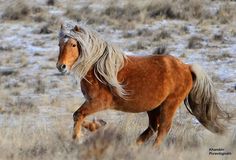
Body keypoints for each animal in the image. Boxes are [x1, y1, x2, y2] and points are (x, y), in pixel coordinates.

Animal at [56, 23, 230, 148]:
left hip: (169, 104)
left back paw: (152, 150)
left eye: (73, 45)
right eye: (59, 45)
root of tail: (187, 67)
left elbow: (78, 115)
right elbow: (78, 116)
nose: (61, 66)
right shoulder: (91, 102)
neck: (98, 69)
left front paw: (77, 138)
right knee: (153, 128)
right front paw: (97, 125)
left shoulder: (99, 102)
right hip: (153, 107)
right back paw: (136, 145)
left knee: (163, 128)